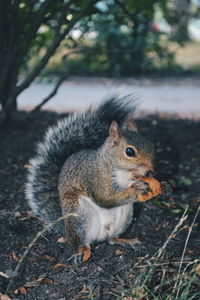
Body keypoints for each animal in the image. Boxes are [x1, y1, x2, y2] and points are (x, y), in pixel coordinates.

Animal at [25, 96, 156, 262]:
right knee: (80, 241)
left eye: (151, 145)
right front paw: (137, 187)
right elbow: (105, 197)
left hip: (125, 215)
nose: (150, 170)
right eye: (129, 151)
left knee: (111, 239)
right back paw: (82, 251)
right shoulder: (94, 177)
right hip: (79, 215)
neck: (122, 172)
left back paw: (127, 241)